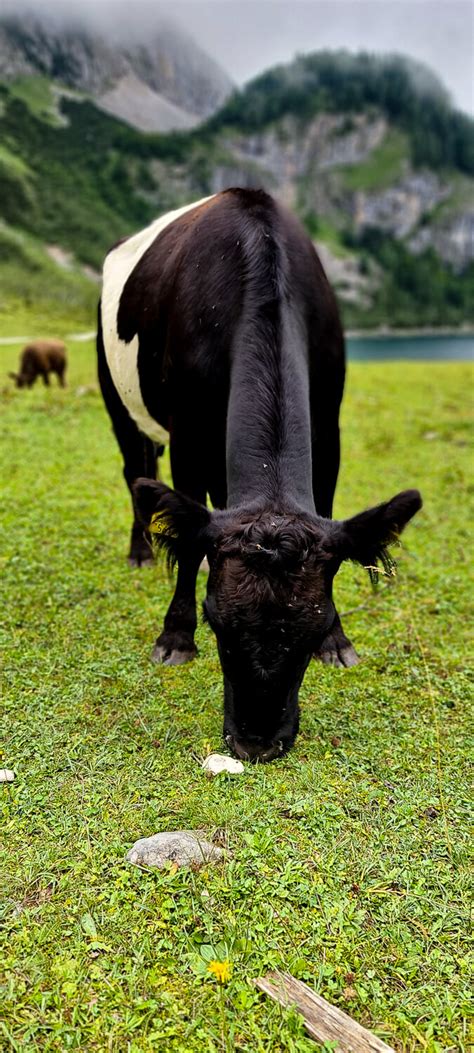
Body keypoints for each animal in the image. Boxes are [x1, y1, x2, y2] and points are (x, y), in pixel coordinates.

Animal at [97, 189, 421, 762]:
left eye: (313, 629)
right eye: (216, 624)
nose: (257, 742)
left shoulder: (328, 423)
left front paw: (340, 642)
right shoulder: (188, 431)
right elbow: (188, 539)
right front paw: (175, 636)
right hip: (117, 397)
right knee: (136, 471)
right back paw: (140, 551)